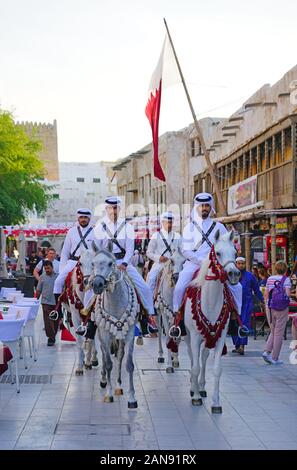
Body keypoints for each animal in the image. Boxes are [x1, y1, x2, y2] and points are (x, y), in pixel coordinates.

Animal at [91, 242, 138, 408]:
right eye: (93, 263)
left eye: (111, 263)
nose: (97, 284)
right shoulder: (104, 335)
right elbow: (108, 364)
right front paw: (108, 394)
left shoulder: (129, 334)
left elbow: (128, 364)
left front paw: (132, 398)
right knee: (105, 358)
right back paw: (104, 380)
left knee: (119, 355)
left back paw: (118, 385)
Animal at [183, 229, 240, 414]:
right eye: (219, 253)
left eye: (235, 253)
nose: (234, 274)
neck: (211, 300)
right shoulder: (194, 337)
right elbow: (194, 367)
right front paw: (195, 397)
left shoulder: (220, 337)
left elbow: (216, 369)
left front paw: (216, 403)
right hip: (188, 337)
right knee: (192, 357)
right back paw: (193, 388)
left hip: (208, 337)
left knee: (203, 357)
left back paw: (201, 387)